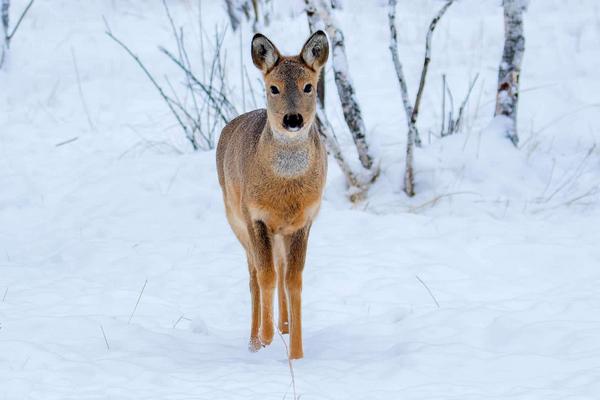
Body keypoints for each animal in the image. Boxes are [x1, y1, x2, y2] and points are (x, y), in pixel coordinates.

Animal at [216, 31, 328, 360]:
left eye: (309, 86)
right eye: (273, 88)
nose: (293, 119)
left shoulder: (304, 221)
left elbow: (293, 281)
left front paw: (297, 354)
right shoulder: (255, 217)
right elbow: (265, 276)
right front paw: (264, 338)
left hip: (278, 234)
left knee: (279, 268)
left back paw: (284, 326)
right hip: (235, 221)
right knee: (254, 275)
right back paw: (254, 341)